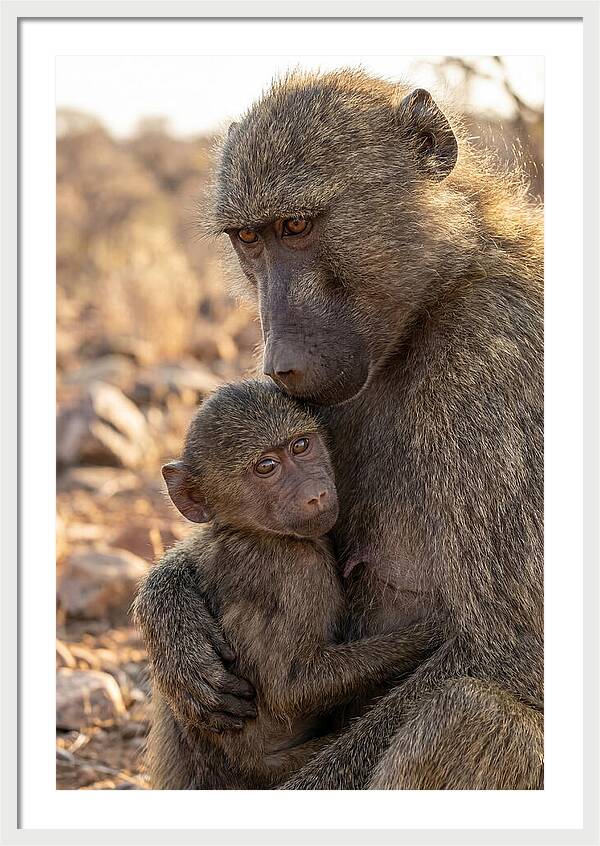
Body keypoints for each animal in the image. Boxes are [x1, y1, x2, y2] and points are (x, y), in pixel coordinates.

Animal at [133, 379, 438, 789]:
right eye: (266, 467)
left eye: (301, 446)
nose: (316, 494)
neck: (252, 531)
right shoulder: (298, 570)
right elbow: (291, 688)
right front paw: (433, 633)